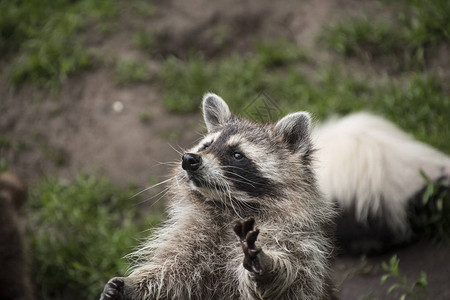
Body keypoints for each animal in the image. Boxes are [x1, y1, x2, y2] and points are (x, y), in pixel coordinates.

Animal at [100, 94, 336, 300]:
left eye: (237, 154)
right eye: (206, 146)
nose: (189, 159)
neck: (229, 206)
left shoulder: (297, 242)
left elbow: (292, 278)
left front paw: (268, 265)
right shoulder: (194, 237)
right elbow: (173, 275)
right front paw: (133, 285)